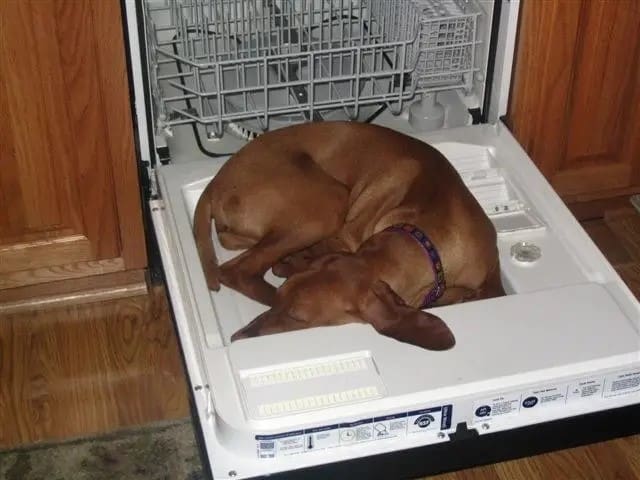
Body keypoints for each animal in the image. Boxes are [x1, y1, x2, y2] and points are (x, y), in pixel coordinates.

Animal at [192, 122, 502, 350]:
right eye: (283, 298)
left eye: (297, 317)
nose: (237, 338)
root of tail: (215, 182)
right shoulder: (345, 236)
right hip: (329, 204)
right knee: (236, 270)